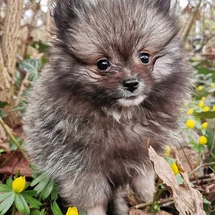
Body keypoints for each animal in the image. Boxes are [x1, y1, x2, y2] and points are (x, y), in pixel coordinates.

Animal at [24, 0, 191, 214]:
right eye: (103, 64)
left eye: (144, 57)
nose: (131, 83)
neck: (120, 115)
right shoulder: (79, 166)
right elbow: (92, 199)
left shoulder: (146, 147)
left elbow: (145, 171)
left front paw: (147, 194)